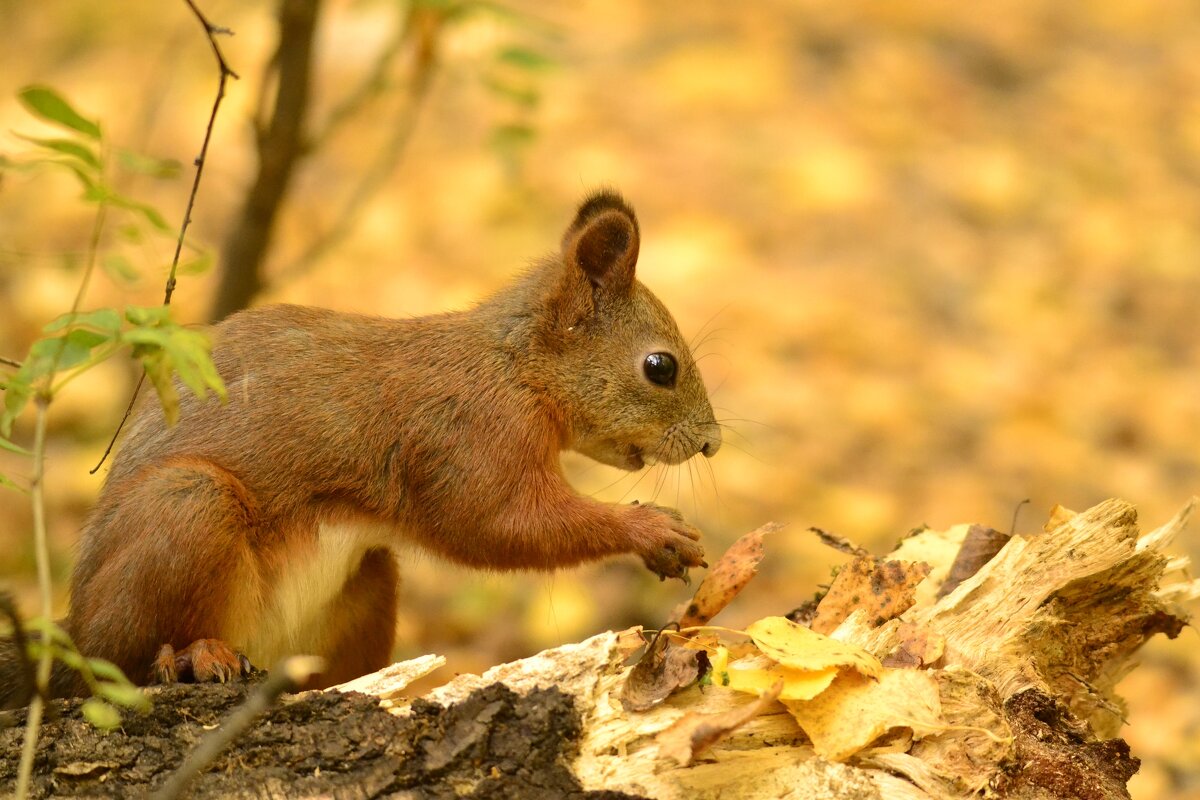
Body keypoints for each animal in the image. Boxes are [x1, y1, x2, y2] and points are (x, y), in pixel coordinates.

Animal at [0, 190, 715, 705]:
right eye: (660, 367)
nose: (709, 443)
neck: (516, 369)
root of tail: (73, 630)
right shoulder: (466, 437)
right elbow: (501, 524)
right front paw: (652, 529)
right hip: (182, 509)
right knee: (117, 661)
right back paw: (190, 655)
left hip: (366, 583)